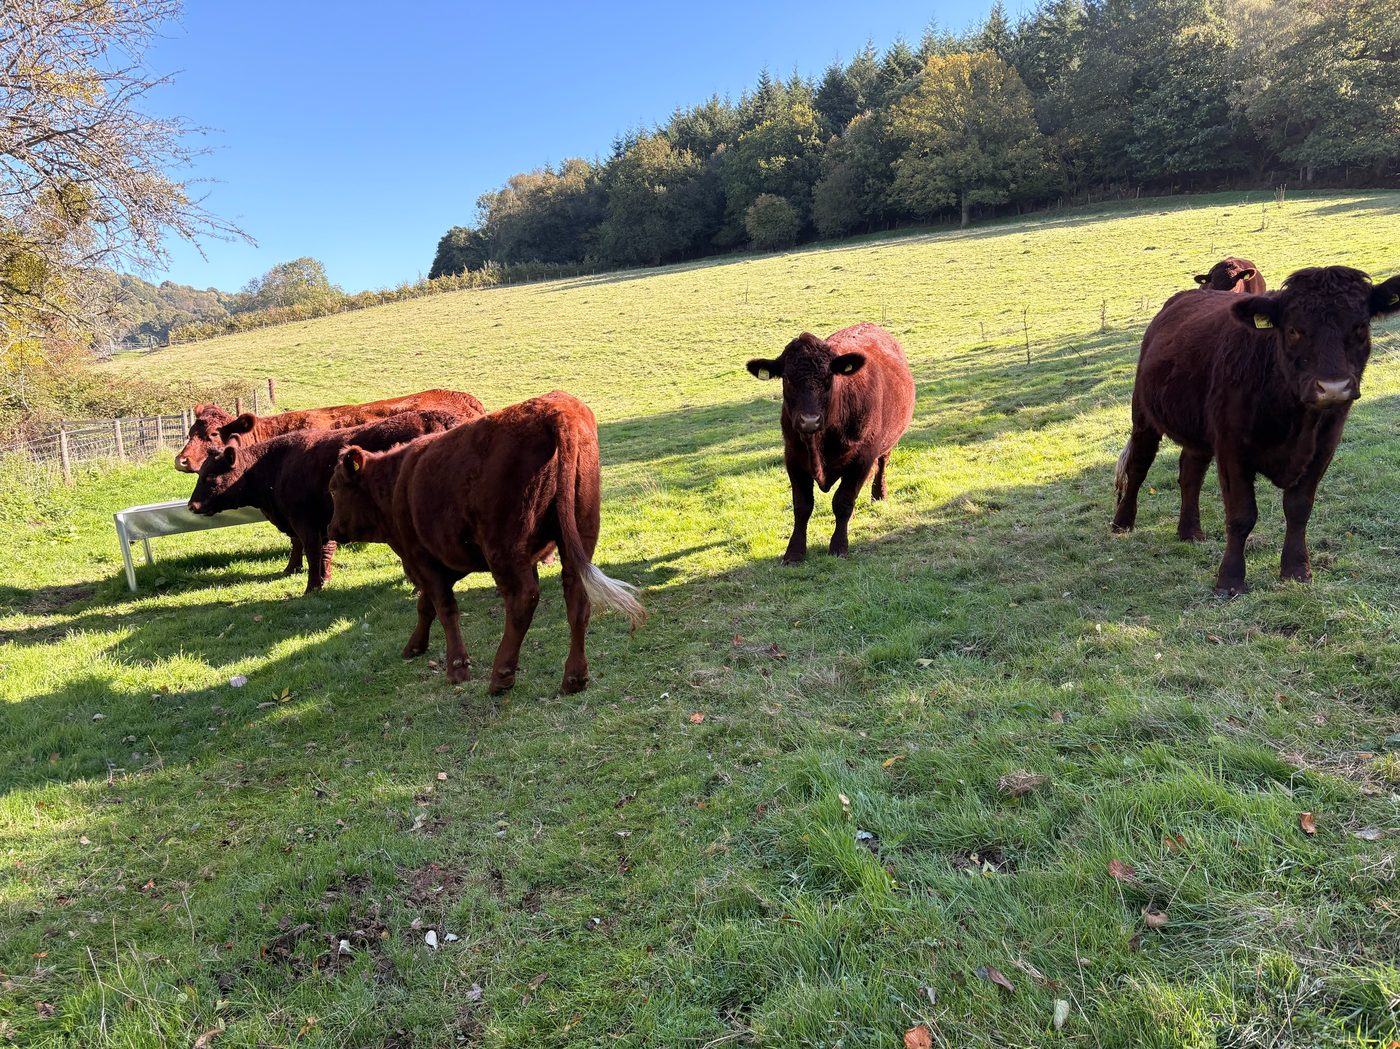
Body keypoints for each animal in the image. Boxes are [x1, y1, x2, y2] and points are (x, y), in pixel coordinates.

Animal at [186, 409, 470, 593]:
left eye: (210, 475)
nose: (192, 506)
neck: (276, 465)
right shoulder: (326, 520)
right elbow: (325, 551)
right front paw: (325, 580)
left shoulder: (305, 522)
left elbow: (312, 551)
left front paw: (312, 587)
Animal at [325, 391, 645, 694]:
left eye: (334, 489)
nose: (331, 528)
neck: (395, 483)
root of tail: (554, 409)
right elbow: (426, 606)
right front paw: (415, 646)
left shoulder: (422, 558)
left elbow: (444, 609)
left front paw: (457, 668)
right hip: (578, 533)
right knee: (577, 595)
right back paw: (574, 678)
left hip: (504, 548)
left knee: (522, 599)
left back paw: (501, 676)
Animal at [746, 323, 915, 563]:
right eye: (787, 378)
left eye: (829, 378)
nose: (809, 420)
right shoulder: (793, 457)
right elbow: (802, 506)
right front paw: (794, 552)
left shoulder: (862, 458)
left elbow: (843, 501)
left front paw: (838, 546)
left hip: (887, 442)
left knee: (882, 465)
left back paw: (879, 495)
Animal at [1113, 265, 1400, 595]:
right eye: (1293, 329)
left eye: (1361, 326)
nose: (1333, 387)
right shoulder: (1231, 447)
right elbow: (1241, 515)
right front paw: (1230, 580)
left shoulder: (1324, 446)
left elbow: (1299, 508)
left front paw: (1296, 570)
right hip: (1143, 416)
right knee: (1138, 466)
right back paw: (1122, 523)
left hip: (1198, 434)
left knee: (1190, 473)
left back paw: (1190, 531)